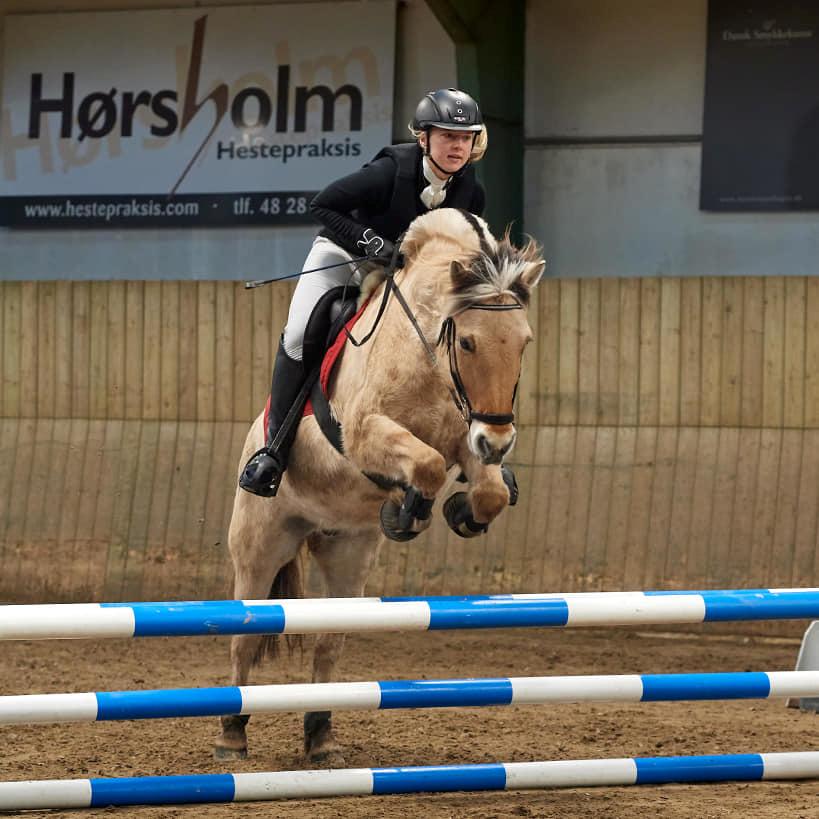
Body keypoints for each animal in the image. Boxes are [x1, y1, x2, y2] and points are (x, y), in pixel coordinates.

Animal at [215, 208, 544, 764]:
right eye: (468, 342)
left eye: (524, 343)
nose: (498, 441)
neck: (430, 355)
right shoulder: (365, 433)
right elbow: (426, 465)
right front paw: (407, 511)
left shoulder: (465, 442)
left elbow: (488, 491)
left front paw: (457, 513)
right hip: (261, 544)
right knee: (246, 636)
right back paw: (232, 734)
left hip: (348, 552)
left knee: (329, 642)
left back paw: (321, 736)